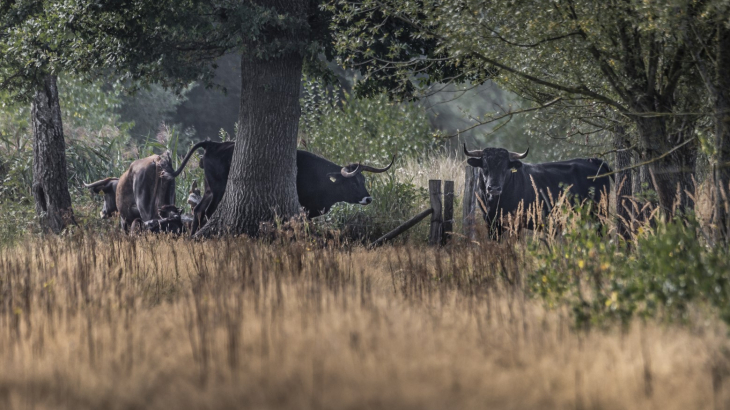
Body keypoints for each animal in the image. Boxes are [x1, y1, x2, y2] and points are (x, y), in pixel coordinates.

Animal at [164, 142, 392, 234]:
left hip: (209, 189)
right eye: (353, 182)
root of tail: (213, 143)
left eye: (364, 181)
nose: (368, 198)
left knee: (198, 209)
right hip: (219, 190)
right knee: (206, 212)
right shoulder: (305, 207)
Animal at [464, 144, 612, 235]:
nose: (494, 188)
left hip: (600, 215)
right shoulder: (491, 224)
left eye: (505, 167)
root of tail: (591, 160)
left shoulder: (515, 224)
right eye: (484, 166)